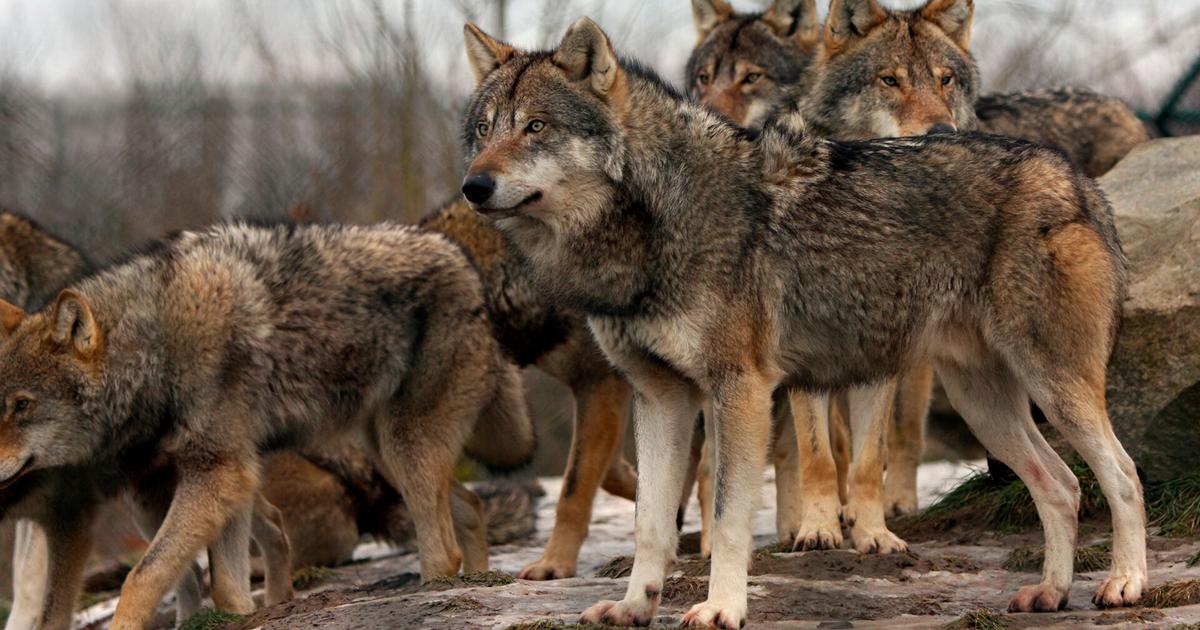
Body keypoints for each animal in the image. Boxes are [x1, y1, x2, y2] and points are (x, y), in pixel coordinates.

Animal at [0, 221, 529, 629]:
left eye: (21, 405)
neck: (157, 346)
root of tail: (465, 265)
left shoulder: (218, 470)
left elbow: (143, 575)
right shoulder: (219, 472)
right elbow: (225, 584)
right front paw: (243, 615)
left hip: (403, 449)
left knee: (442, 545)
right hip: (385, 453)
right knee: (470, 506)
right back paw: (480, 581)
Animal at [462, 18, 1145, 627]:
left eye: (537, 126)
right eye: (485, 130)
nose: (473, 185)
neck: (654, 218)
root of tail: (1076, 179)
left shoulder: (740, 392)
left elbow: (729, 518)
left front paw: (721, 610)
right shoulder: (659, 399)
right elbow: (651, 526)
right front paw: (634, 608)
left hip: (1054, 389)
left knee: (1123, 474)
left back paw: (1124, 584)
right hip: (987, 405)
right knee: (1062, 485)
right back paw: (1050, 593)